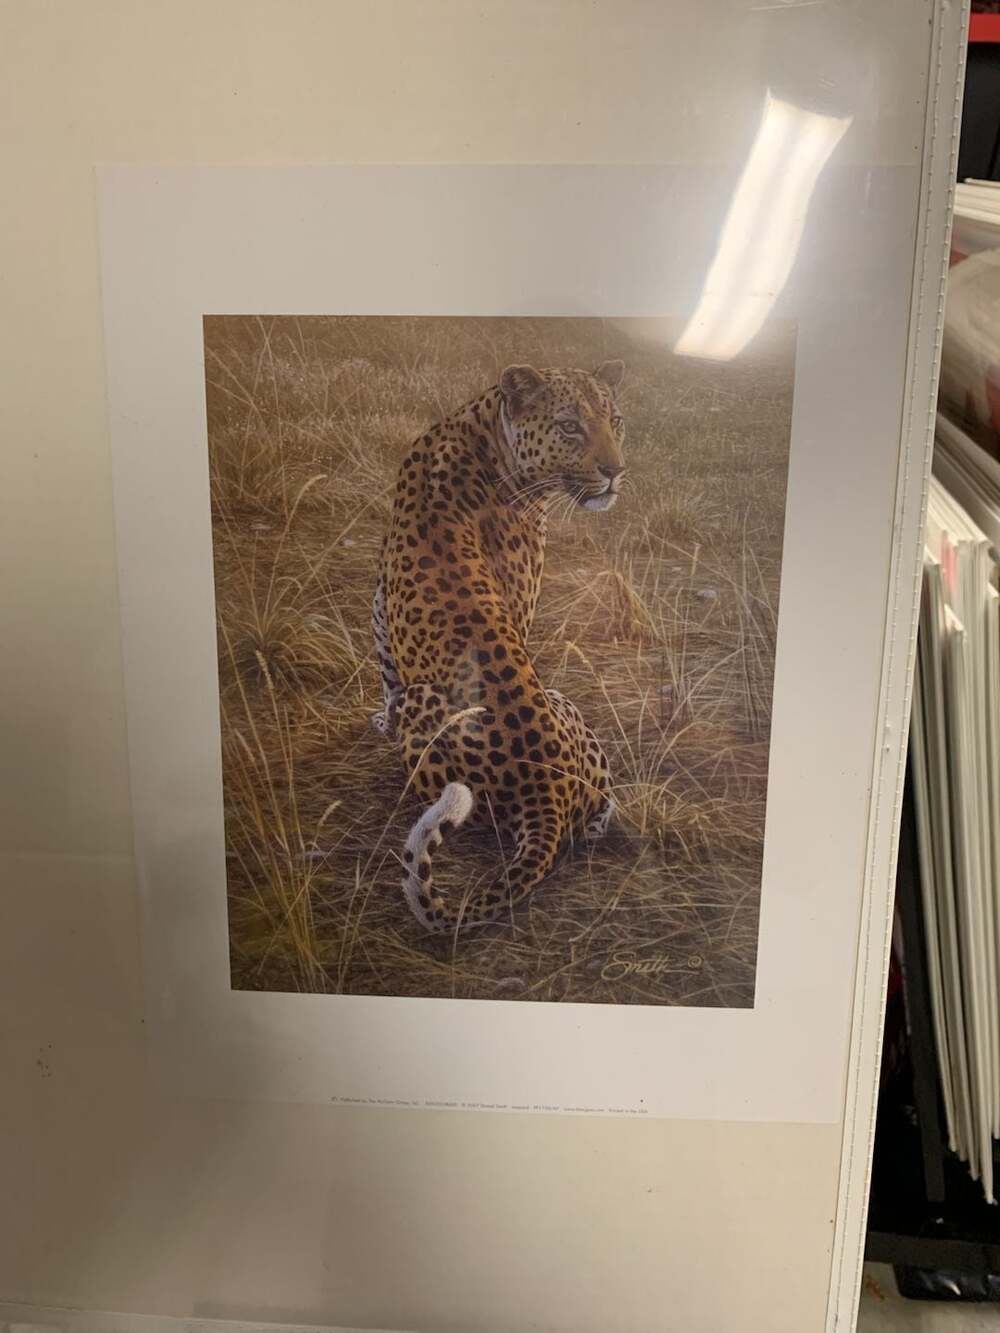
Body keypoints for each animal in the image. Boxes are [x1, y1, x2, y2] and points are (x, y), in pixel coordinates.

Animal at [372, 359, 627, 931]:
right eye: (569, 426)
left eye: (616, 420)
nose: (615, 472)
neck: (483, 426)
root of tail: (546, 794)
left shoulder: (381, 600)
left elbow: (387, 670)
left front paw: (380, 718)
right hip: (552, 702)